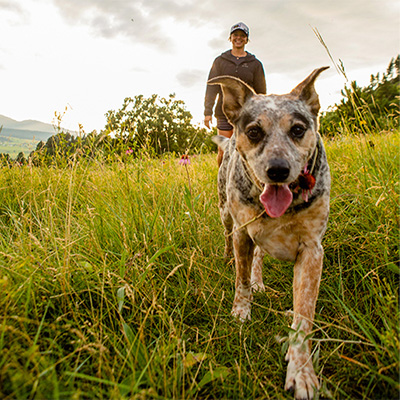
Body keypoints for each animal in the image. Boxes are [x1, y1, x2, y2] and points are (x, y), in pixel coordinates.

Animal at [209, 67, 332, 398]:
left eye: (298, 129)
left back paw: (260, 280)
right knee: (229, 238)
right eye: (254, 132)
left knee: (260, 257)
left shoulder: (312, 251)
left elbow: (304, 314)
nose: (277, 169)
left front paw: (301, 371)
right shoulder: (242, 233)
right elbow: (240, 280)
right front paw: (241, 312)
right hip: (225, 213)